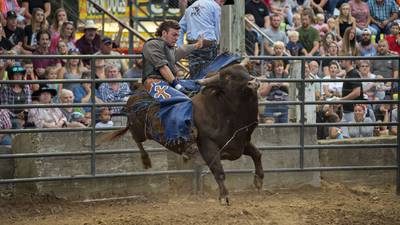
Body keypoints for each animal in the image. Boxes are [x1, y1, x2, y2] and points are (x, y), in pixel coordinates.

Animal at [98, 62, 264, 204]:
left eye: (245, 71)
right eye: (228, 77)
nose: (253, 82)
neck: (224, 111)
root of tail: (134, 94)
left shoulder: (240, 142)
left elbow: (257, 154)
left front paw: (258, 181)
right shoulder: (209, 148)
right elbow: (219, 171)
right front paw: (224, 197)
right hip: (138, 130)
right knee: (135, 138)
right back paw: (146, 160)